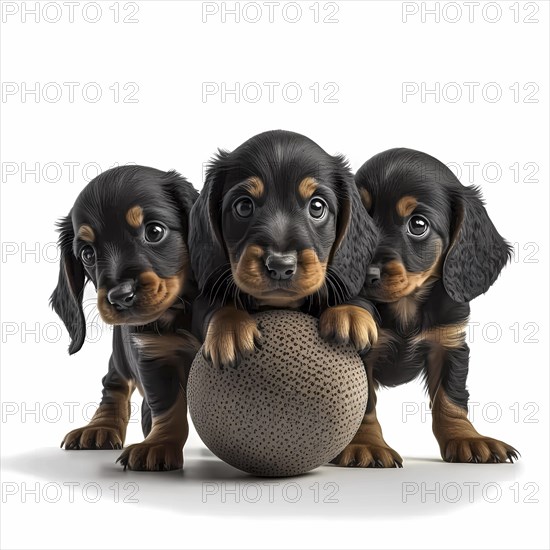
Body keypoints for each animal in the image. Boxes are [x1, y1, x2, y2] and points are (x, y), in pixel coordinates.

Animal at [51, 166, 201, 472]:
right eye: (87, 253)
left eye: (154, 232)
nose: (120, 296)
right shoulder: (154, 354)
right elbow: (167, 405)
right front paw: (159, 444)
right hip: (120, 354)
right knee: (114, 385)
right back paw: (100, 428)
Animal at [189, 131, 380, 368]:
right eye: (244, 206)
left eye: (317, 206)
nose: (280, 266)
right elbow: (214, 304)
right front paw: (231, 327)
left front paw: (349, 311)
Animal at [334, 149, 520, 468]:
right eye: (360, 219)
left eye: (418, 224)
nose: (365, 273)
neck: (405, 305)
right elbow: (362, 403)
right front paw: (365, 444)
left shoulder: (449, 342)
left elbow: (451, 398)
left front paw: (466, 439)